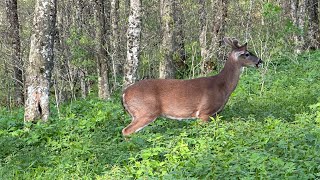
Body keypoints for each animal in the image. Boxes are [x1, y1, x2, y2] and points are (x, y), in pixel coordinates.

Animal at [121, 37, 262, 135]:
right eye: (247, 54)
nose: (260, 61)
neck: (222, 86)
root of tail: (124, 93)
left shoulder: (214, 114)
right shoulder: (204, 112)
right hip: (145, 111)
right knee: (126, 131)